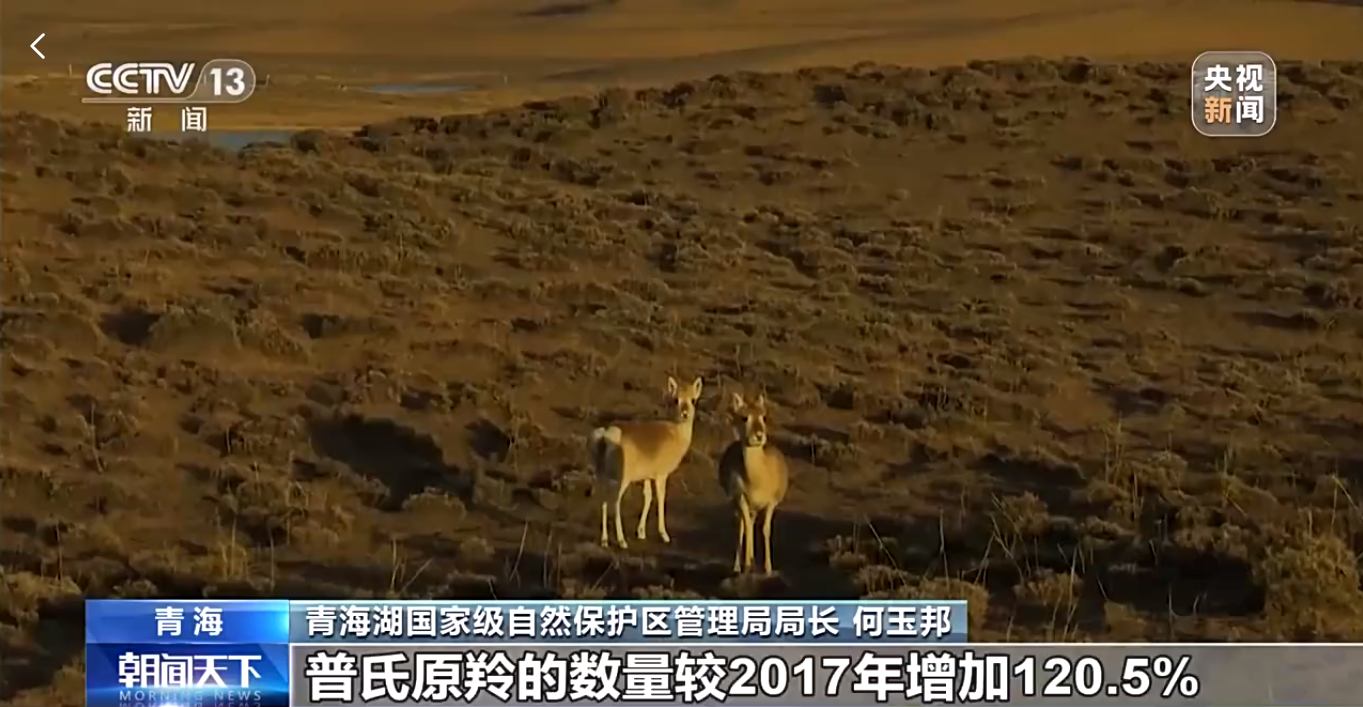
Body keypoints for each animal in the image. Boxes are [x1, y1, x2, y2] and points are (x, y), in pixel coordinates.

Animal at [588, 376, 703, 549]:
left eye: (693, 400)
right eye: (675, 399)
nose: (685, 414)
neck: (674, 433)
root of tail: (607, 434)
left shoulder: (647, 478)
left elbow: (647, 497)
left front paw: (641, 532)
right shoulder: (661, 476)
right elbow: (660, 498)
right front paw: (664, 535)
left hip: (602, 476)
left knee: (602, 501)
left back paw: (604, 540)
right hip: (622, 481)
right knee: (615, 503)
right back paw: (622, 541)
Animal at [718, 392, 789, 575]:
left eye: (763, 416)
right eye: (744, 417)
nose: (759, 435)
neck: (757, 479)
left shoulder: (771, 503)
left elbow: (765, 529)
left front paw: (768, 568)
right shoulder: (741, 500)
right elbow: (747, 529)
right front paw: (747, 565)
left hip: (754, 509)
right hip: (740, 506)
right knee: (742, 526)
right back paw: (739, 565)